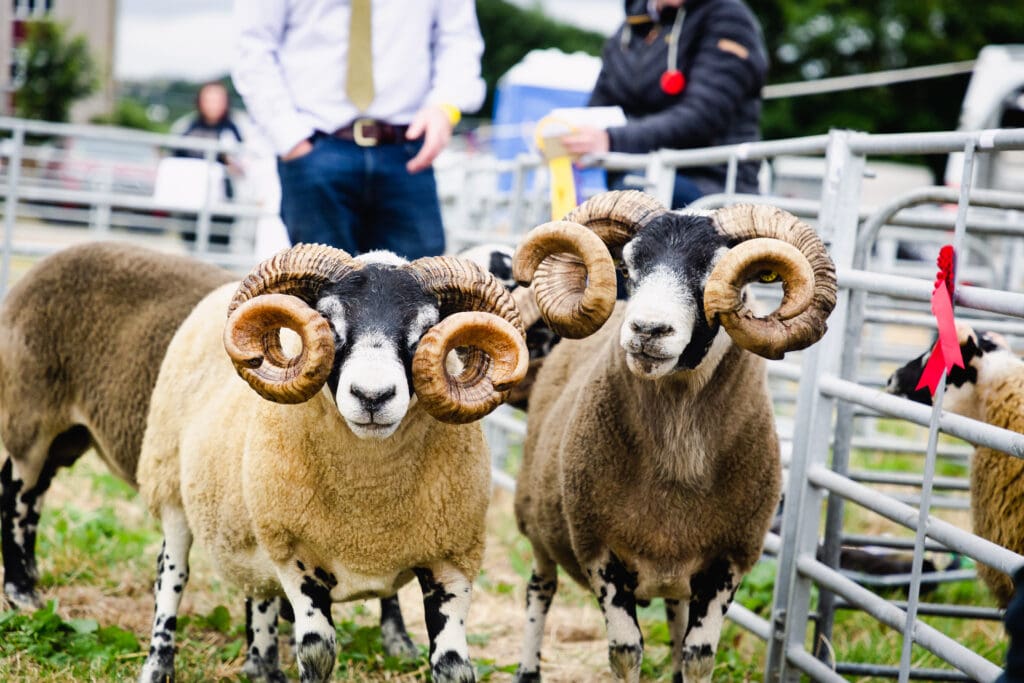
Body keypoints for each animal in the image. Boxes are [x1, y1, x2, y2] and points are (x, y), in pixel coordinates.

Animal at [0, 242, 233, 610]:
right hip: (29, 413)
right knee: (15, 494)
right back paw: (20, 591)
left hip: (68, 435)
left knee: (35, 490)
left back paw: (31, 572)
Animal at [135, 244, 529, 683]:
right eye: (329, 321)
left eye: (427, 329)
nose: (372, 396)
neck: (368, 491)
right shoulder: (297, 555)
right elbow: (317, 651)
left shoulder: (453, 558)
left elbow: (454, 666)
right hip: (169, 486)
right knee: (171, 576)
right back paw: (157, 665)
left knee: (259, 592)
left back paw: (264, 665)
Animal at [508, 190, 837, 683]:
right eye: (628, 267)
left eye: (719, 273)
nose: (648, 331)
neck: (677, 467)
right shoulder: (599, 550)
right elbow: (626, 651)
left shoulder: (729, 560)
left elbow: (698, 654)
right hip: (539, 530)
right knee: (539, 592)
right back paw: (528, 668)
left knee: (676, 619)